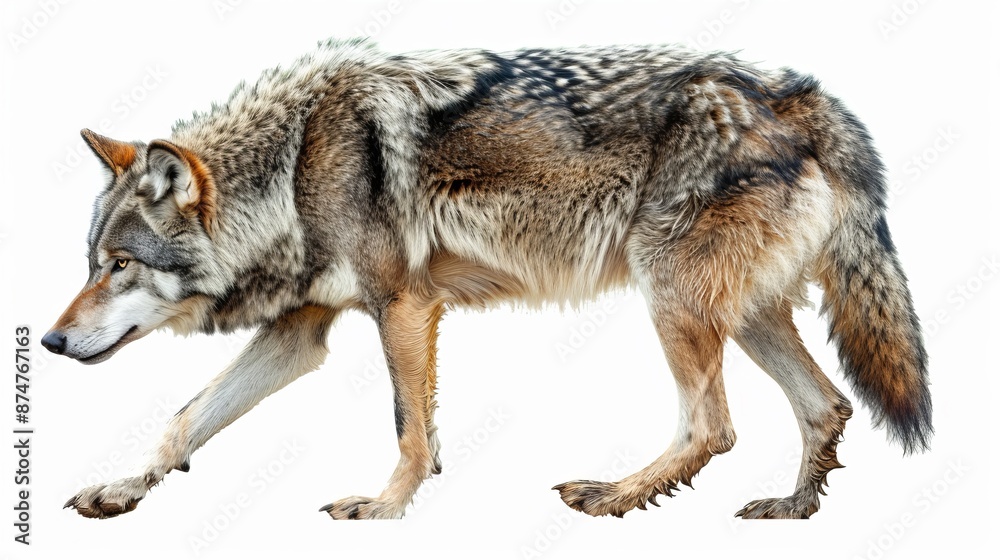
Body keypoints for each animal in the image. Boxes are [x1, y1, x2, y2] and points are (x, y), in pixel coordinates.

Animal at [42, 38, 931, 520]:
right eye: (91, 264)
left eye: (120, 266)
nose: (48, 341)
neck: (292, 165)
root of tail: (798, 95)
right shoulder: (301, 332)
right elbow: (185, 422)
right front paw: (120, 490)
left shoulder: (402, 303)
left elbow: (409, 427)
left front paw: (384, 506)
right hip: (741, 314)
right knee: (826, 405)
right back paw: (791, 509)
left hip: (672, 298)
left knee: (712, 427)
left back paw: (611, 497)